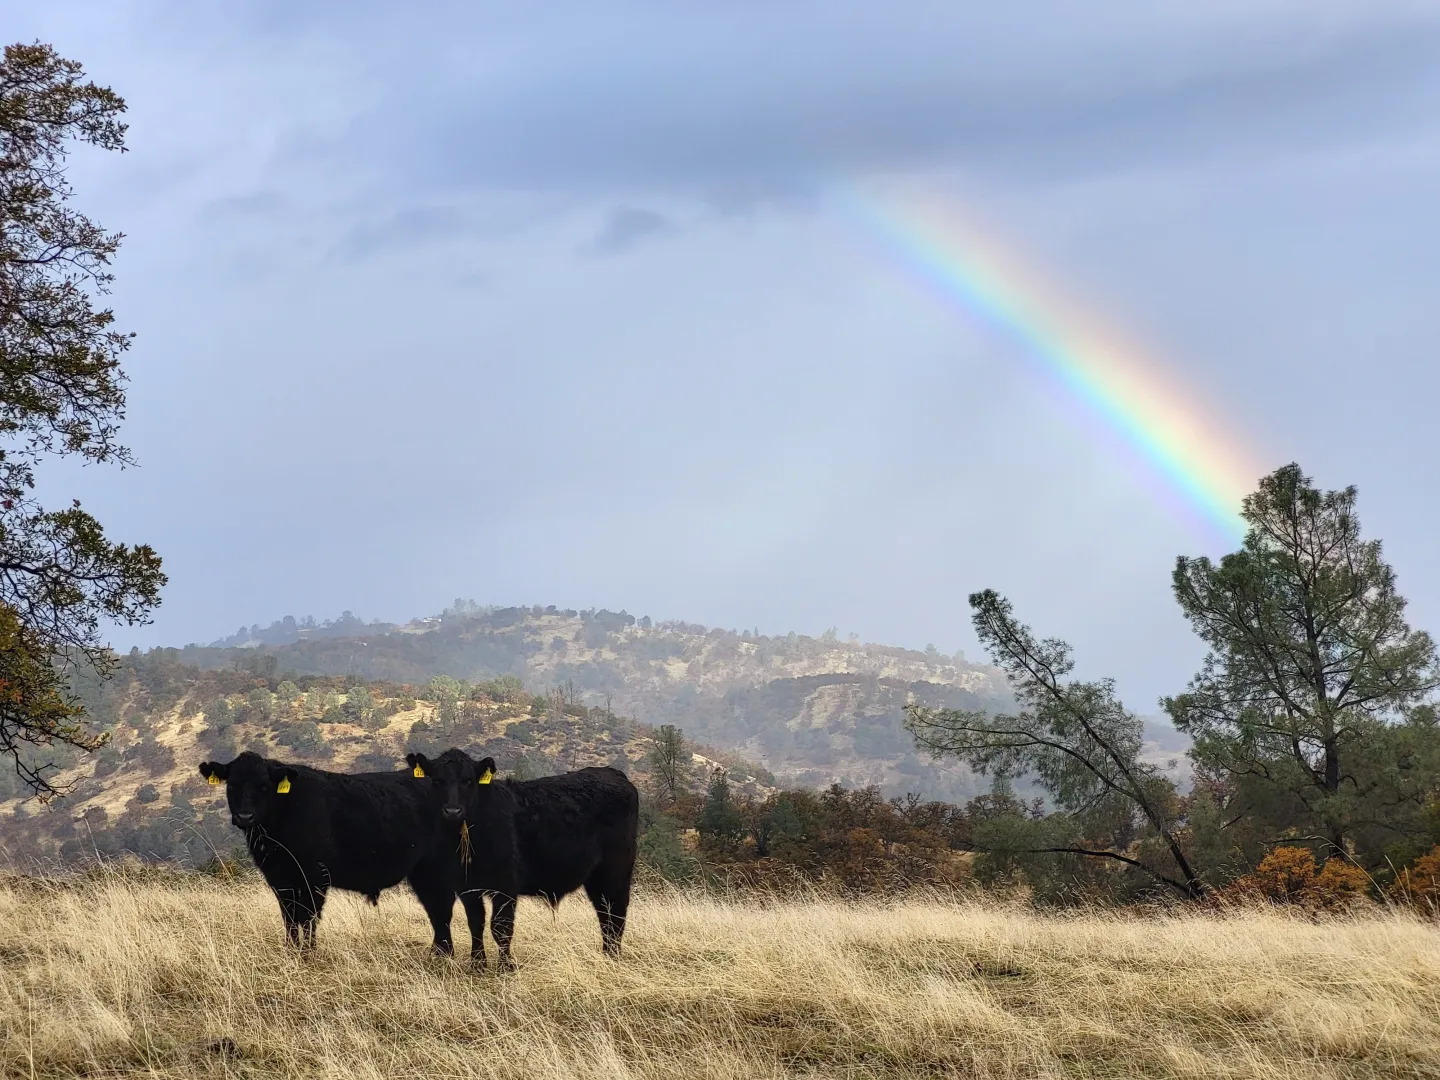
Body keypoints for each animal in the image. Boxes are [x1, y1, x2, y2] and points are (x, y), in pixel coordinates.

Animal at [197, 752, 458, 951]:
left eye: (264, 786)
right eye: (232, 785)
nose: (245, 816)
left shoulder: (314, 876)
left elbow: (308, 916)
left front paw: (308, 952)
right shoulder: (279, 878)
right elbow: (289, 917)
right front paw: (292, 950)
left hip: (438, 866)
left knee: (441, 908)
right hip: (422, 871)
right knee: (436, 909)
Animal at [405, 748, 639, 969]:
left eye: (468, 780)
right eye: (437, 781)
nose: (452, 810)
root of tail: (612, 773)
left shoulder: (506, 885)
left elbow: (501, 926)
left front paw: (505, 966)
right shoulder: (467, 887)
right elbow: (476, 923)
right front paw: (478, 963)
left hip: (616, 870)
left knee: (616, 911)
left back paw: (613, 955)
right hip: (596, 878)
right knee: (604, 912)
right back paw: (607, 954)